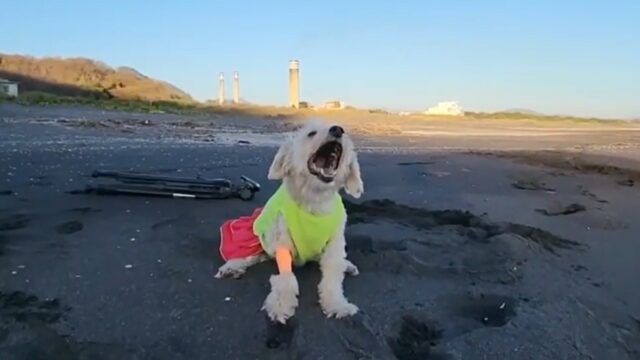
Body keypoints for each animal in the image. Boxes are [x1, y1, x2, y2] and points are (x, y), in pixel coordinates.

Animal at [216, 121, 362, 324]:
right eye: (311, 133)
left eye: (343, 132)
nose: (337, 130)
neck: (314, 200)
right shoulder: (282, 244)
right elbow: (286, 278)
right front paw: (281, 306)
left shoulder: (334, 244)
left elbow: (332, 276)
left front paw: (337, 304)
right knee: (251, 255)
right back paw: (232, 267)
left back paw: (346, 265)